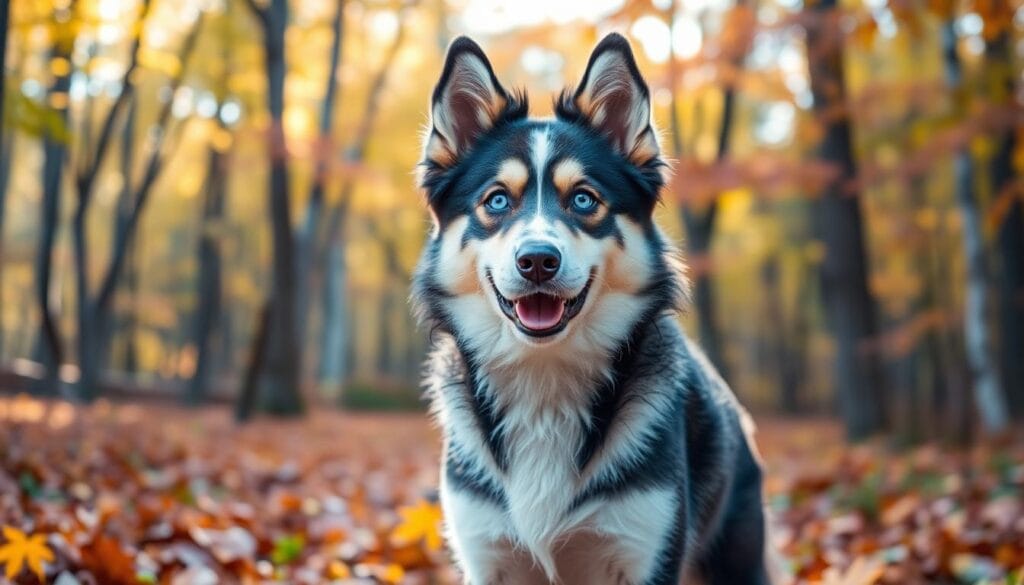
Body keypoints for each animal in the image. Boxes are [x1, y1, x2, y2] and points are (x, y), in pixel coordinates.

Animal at [411, 33, 770, 585]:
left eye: (583, 200)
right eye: (497, 201)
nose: (538, 260)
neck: (545, 381)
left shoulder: (647, 549)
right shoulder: (486, 553)